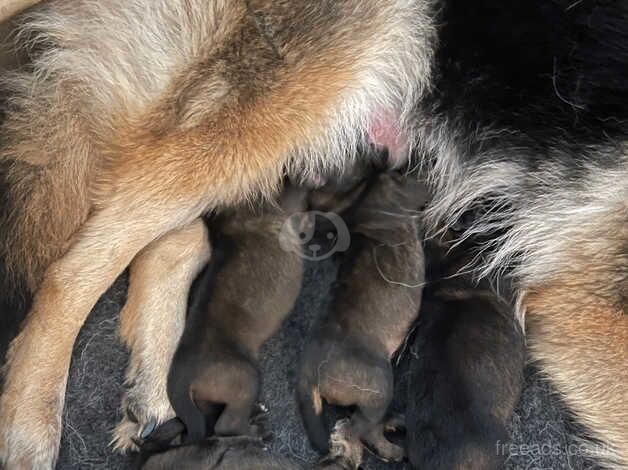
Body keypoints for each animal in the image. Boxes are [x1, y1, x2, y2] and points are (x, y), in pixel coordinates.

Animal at [166, 188, 306, 444]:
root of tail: (180, 379)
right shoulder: (282, 201)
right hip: (244, 377)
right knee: (226, 426)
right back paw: (256, 432)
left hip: (208, 399)